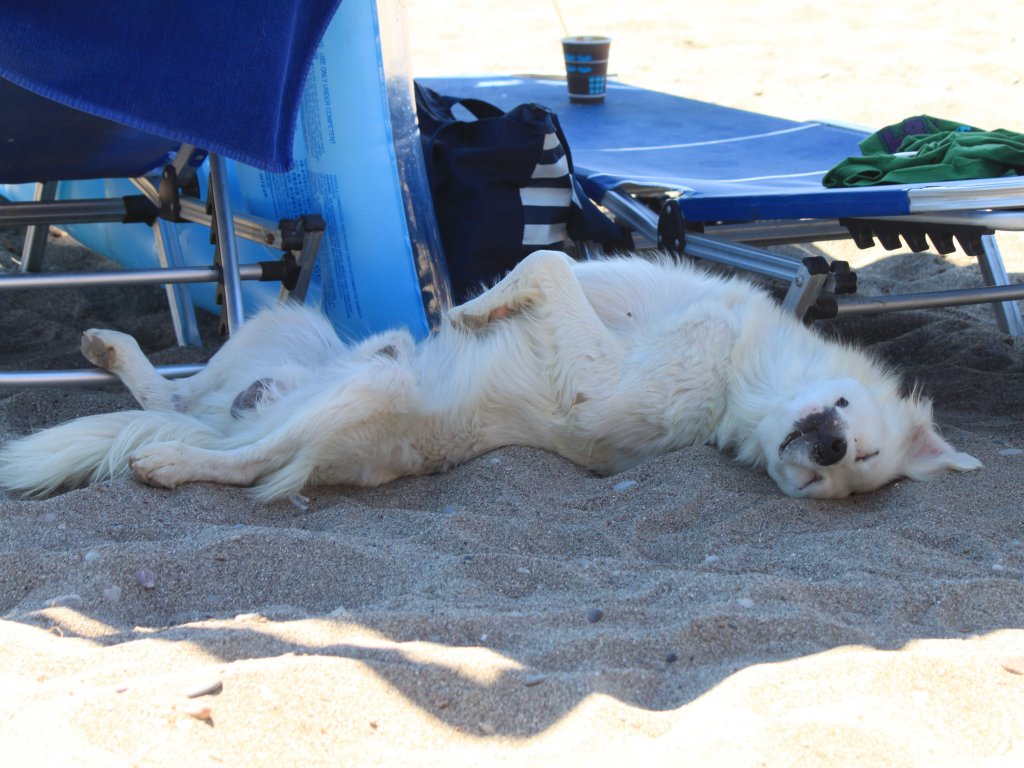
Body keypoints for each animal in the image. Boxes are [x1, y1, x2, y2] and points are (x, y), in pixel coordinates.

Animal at [0, 249, 978, 501]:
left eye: (854, 473)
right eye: (854, 439)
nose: (828, 446)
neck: (738, 382)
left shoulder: (599, 380)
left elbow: (545, 263)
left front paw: (471, 315)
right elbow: (548, 261)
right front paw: (474, 309)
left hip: (367, 396)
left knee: (236, 459)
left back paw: (171, 461)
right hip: (287, 323)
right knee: (182, 394)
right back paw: (115, 353)